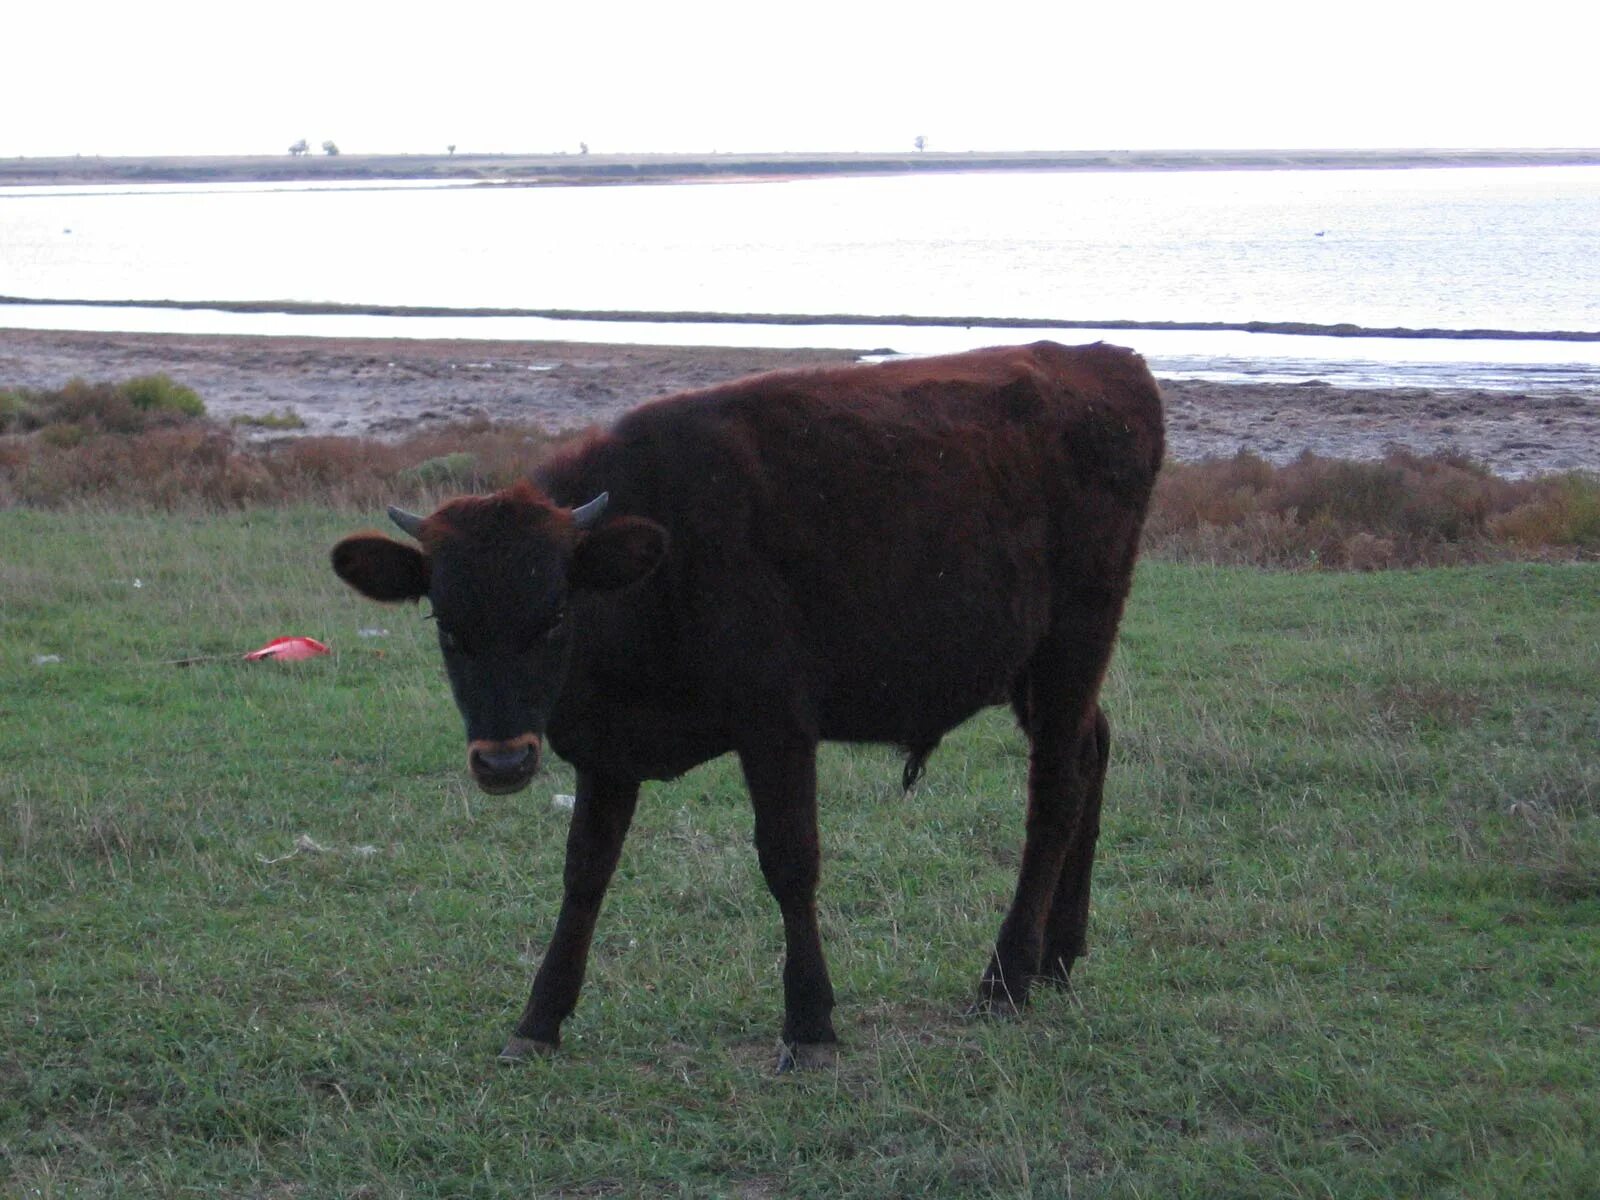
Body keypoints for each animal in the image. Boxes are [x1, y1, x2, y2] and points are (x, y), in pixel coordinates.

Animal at [334, 342, 1164, 1075]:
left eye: (555, 615)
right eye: (447, 624)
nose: (503, 760)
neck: (661, 562)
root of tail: (1108, 362)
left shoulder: (777, 727)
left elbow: (789, 863)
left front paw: (810, 1024)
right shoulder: (608, 754)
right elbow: (585, 873)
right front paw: (539, 1018)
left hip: (1072, 644)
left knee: (1055, 793)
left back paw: (1008, 975)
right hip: (1035, 669)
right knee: (1092, 751)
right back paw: (1060, 952)